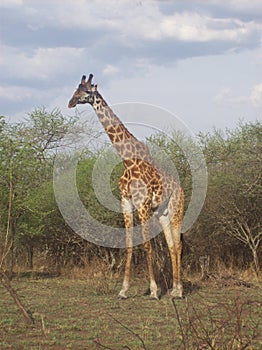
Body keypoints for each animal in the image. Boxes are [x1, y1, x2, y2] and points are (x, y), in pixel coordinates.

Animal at [68, 74, 185, 298]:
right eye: (75, 89)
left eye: (86, 91)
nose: (70, 103)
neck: (127, 161)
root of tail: (182, 188)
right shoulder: (126, 203)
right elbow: (130, 245)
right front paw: (123, 290)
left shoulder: (143, 204)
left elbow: (147, 246)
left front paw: (154, 291)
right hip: (162, 213)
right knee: (171, 245)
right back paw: (174, 289)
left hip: (176, 209)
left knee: (178, 245)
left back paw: (179, 291)